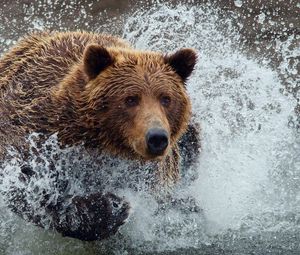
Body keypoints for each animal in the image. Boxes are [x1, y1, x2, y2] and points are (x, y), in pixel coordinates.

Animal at [0, 31, 199, 241]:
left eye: (166, 98)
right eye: (130, 99)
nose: (157, 138)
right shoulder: (35, 127)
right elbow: (27, 181)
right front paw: (110, 207)